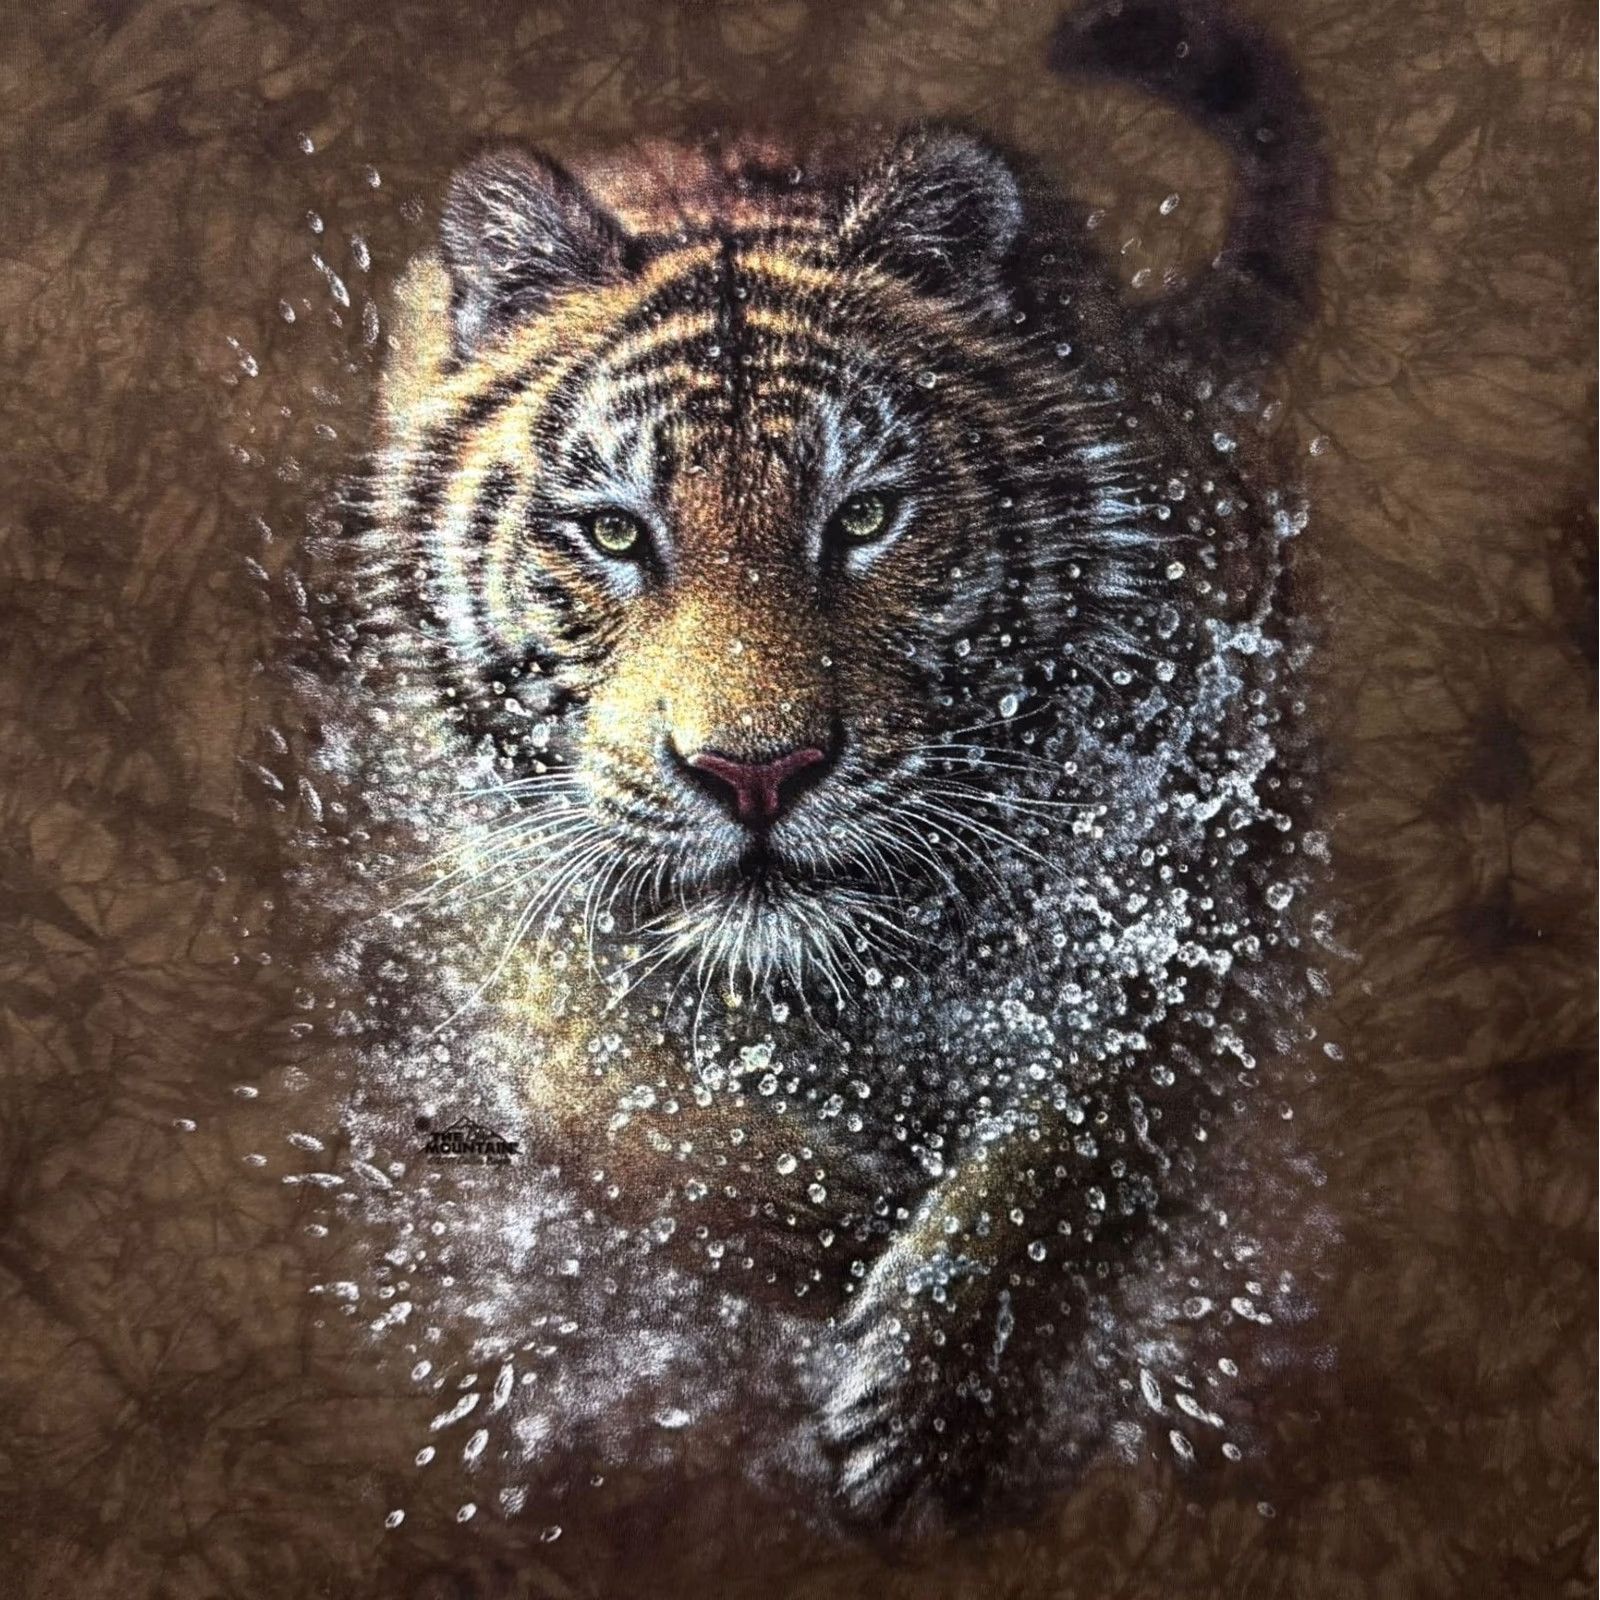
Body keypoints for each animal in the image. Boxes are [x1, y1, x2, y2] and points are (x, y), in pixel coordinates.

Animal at [338, 0, 1329, 1526]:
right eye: (615, 532)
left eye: (863, 519)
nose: (759, 775)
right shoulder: (491, 882)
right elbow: (620, 1112)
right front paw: (832, 1229)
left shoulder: (1193, 860)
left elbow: (1065, 1146)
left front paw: (919, 1397)